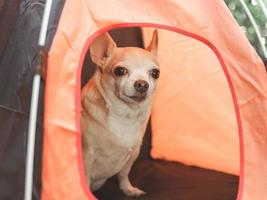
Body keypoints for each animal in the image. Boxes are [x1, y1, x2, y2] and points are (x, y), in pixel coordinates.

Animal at [81, 30, 160, 197]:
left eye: (155, 73)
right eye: (120, 71)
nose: (142, 84)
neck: (124, 114)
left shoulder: (133, 154)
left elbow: (123, 174)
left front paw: (128, 189)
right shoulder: (86, 156)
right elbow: (85, 178)